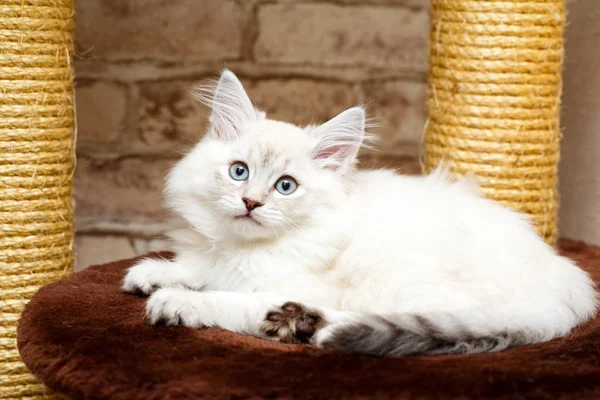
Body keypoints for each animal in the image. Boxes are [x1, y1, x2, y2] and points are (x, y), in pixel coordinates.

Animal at [120, 69, 596, 356]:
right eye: (240, 172)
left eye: (285, 186)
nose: (251, 203)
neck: (247, 248)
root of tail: (569, 289)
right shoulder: (217, 257)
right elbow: (198, 267)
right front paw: (152, 274)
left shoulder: (288, 284)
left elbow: (225, 298)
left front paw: (176, 300)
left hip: (409, 280)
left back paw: (299, 323)